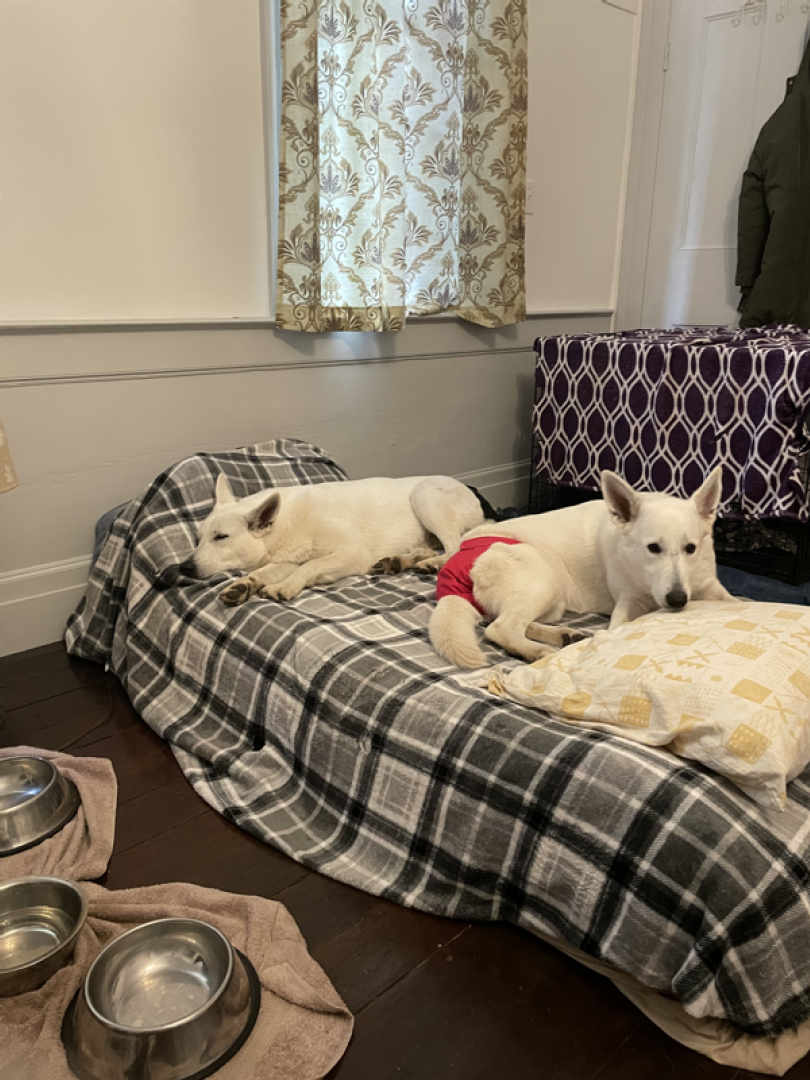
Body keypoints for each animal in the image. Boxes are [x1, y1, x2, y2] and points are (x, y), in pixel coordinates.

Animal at [181, 473, 487, 605]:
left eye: (221, 537)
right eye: (198, 538)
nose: (183, 568)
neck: (286, 523)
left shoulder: (351, 554)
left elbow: (310, 566)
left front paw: (286, 587)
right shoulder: (287, 559)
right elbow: (267, 572)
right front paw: (244, 585)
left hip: (424, 496)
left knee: (453, 546)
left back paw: (431, 564)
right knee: (432, 548)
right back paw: (400, 561)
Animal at [428, 467, 738, 669]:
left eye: (691, 548)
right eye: (653, 548)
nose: (677, 600)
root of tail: (459, 558)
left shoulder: (709, 588)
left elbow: (735, 602)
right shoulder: (627, 603)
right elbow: (619, 628)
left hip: (553, 601)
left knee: (512, 621)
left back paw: (561, 635)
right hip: (544, 578)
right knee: (500, 627)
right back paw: (537, 650)